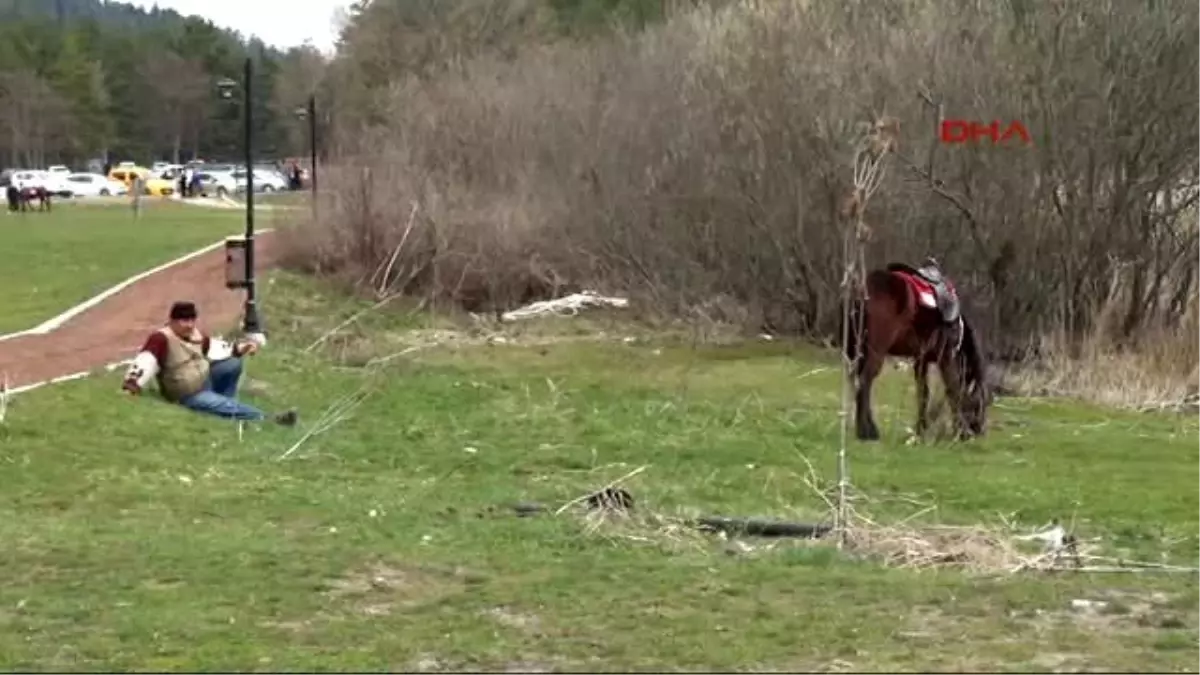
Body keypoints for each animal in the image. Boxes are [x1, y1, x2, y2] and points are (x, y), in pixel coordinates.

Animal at [840, 258, 988, 441]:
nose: (979, 431)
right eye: (979, 404)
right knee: (865, 381)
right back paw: (868, 432)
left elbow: (923, 394)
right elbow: (953, 390)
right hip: (875, 351)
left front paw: (920, 431)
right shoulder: (946, 358)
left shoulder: (921, 360)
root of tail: (862, 290)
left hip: (856, 350)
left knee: (857, 382)